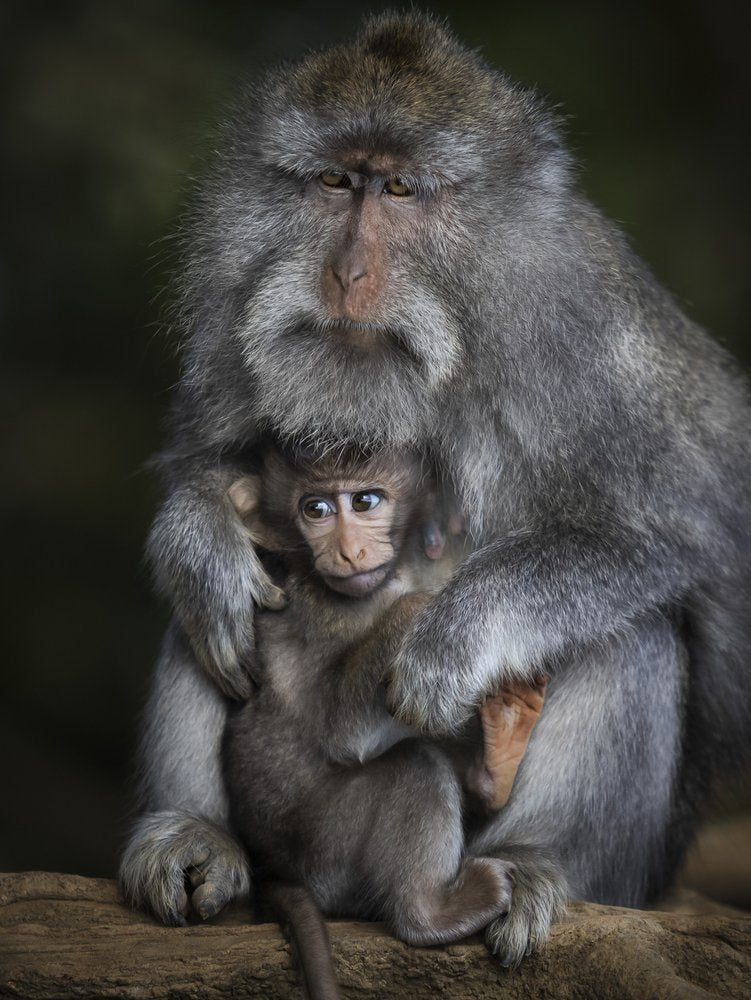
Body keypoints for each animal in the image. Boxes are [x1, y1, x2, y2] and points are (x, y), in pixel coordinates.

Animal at [120, 11, 751, 967]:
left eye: (401, 190)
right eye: (337, 181)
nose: (345, 274)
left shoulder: (583, 346)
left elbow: (675, 535)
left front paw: (451, 640)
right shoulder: (228, 326)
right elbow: (210, 465)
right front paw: (199, 539)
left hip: (622, 874)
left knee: (631, 628)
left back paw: (528, 861)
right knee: (211, 622)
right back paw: (197, 832)